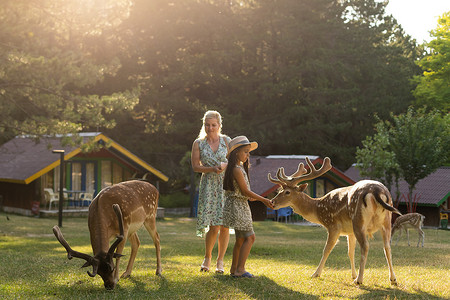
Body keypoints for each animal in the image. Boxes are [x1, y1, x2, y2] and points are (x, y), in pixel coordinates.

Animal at [268, 157, 402, 286]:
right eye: (279, 190)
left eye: (287, 192)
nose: (272, 202)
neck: (318, 209)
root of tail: (376, 191)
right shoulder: (349, 232)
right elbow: (350, 252)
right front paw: (352, 274)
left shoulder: (333, 225)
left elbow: (326, 249)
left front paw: (315, 274)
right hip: (386, 221)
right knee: (387, 246)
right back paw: (393, 279)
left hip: (358, 221)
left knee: (365, 246)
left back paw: (359, 280)